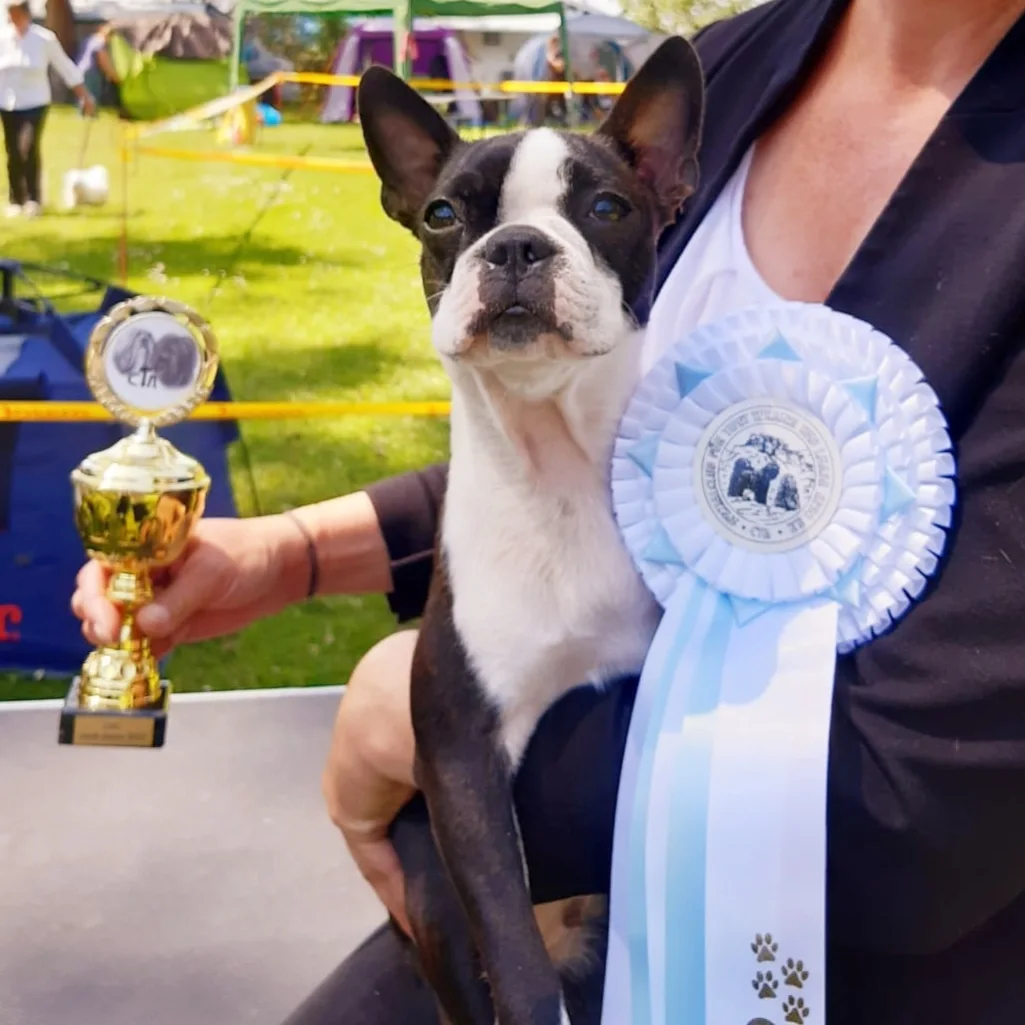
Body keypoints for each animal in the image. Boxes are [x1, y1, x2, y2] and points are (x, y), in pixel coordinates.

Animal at [358, 36, 705, 1025]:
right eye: (441, 215)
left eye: (605, 207)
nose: (515, 245)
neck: (554, 463)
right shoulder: (458, 754)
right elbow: (509, 945)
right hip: (429, 891)